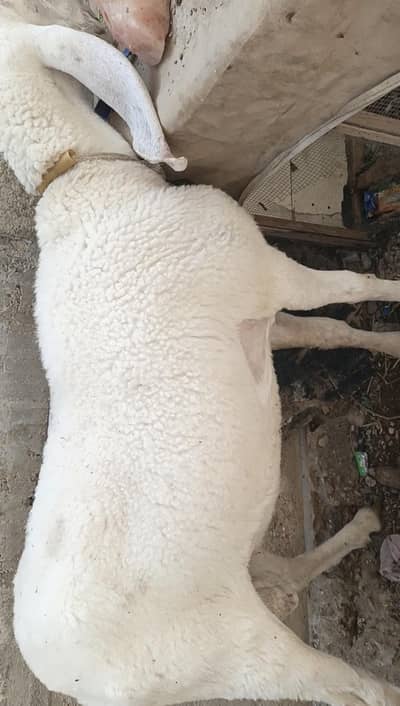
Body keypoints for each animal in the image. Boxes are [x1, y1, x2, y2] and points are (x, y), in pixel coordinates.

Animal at [1, 9, 399, 706]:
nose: (109, 25)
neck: (82, 181)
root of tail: (71, 680)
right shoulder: (263, 270)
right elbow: (350, 288)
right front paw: (398, 296)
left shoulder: (256, 319)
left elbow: (325, 330)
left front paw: (392, 344)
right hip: (225, 647)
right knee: (350, 688)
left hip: (239, 578)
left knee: (282, 582)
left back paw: (363, 526)